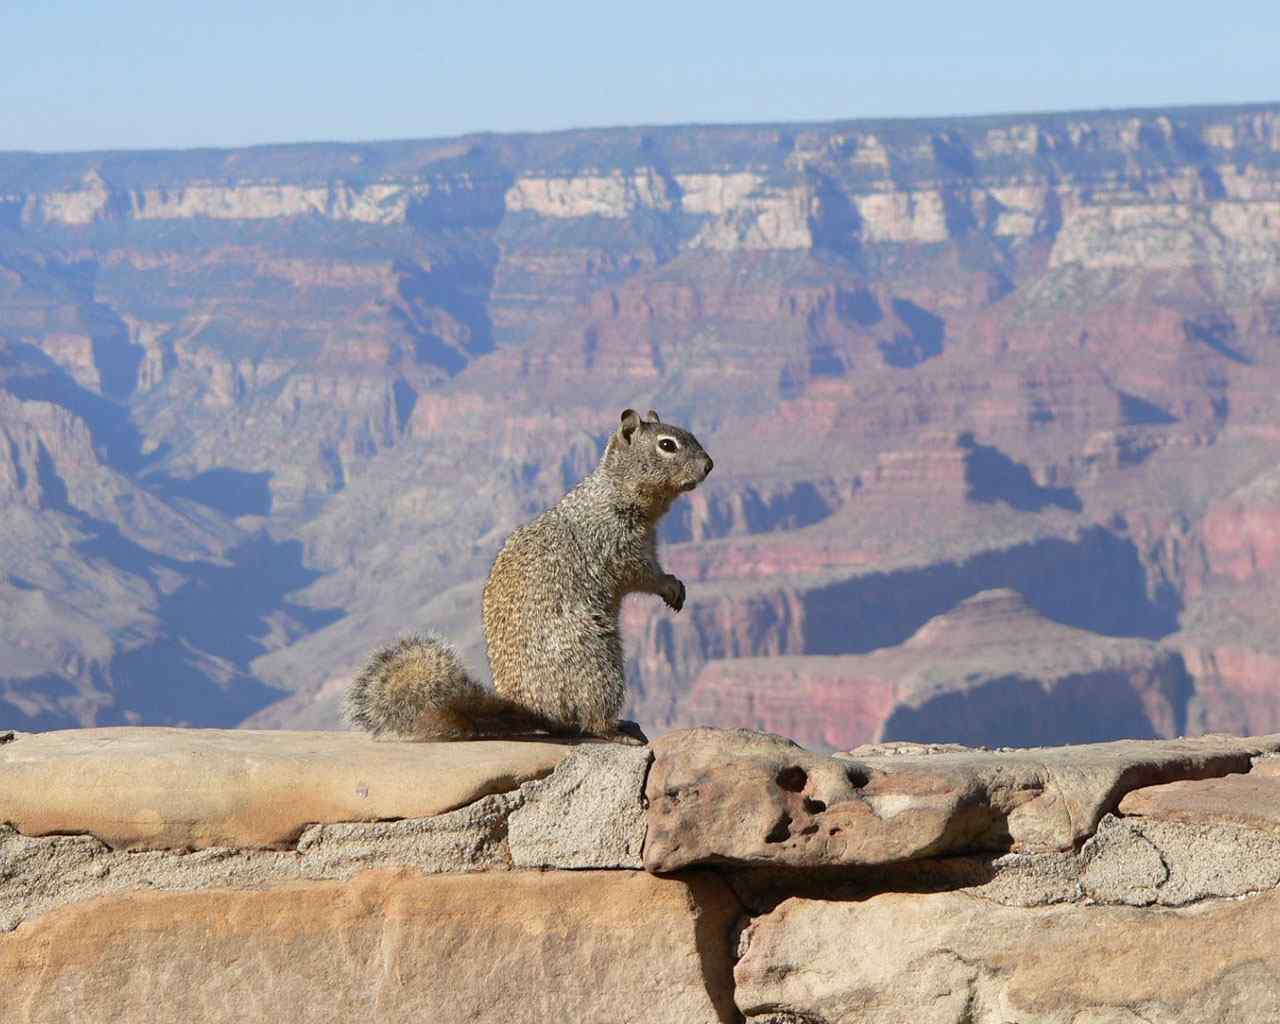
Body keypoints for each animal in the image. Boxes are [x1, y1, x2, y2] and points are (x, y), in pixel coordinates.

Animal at [345, 407, 716, 742]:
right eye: (667, 445)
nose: (709, 465)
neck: (615, 491)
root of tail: (535, 712)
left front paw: (676, 586)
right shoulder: (616, 544)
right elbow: (640, 574)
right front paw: (669, 586)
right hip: (598, 661)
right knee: (590, 719)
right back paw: (616, 730)